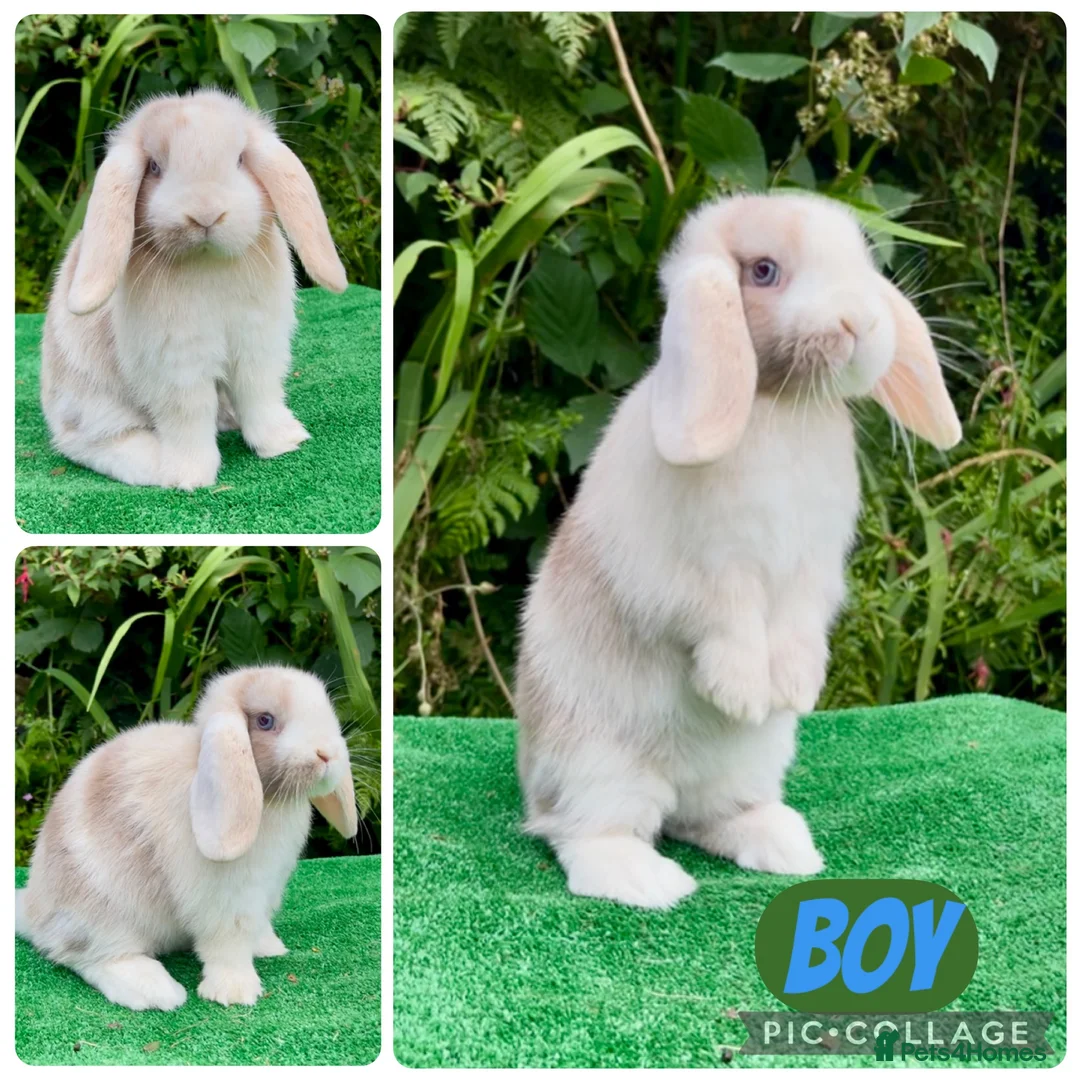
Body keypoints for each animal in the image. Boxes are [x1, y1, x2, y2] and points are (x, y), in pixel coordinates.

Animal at [15, 665, 358, 1010]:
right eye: (265, 720)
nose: (327, 754)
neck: (268, 799)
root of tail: (31, 909)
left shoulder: (267, 888)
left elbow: (256, 925)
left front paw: (268, 946)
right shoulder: (226, 900)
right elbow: (229, 945)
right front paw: (234, 991)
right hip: (102, 916)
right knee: (88, 957)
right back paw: (157, 991)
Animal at [39, 88, 348, 491]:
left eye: (240, 159)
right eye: (155, 167)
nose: (206, 215)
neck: (207, 264)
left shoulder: (258, 343)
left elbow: (259, 393)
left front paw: (284, 442)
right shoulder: (176, 362)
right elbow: (188, 415)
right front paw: (191, 477)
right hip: (93, 404)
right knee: (85, 442)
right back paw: (153, 463)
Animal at [515, 192, 962, 910]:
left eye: (863, 262)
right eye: (763, 271)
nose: (862, 321)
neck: (779, 407)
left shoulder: (814, 570)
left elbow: (798, 623)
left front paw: (797, 688)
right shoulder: (703, 575)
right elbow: (727, 620)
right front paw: (745, 695)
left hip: (745, 769)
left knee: (708, 818)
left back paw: (784, 846)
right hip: (599, 768)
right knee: (583, 835)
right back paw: (650, 882)